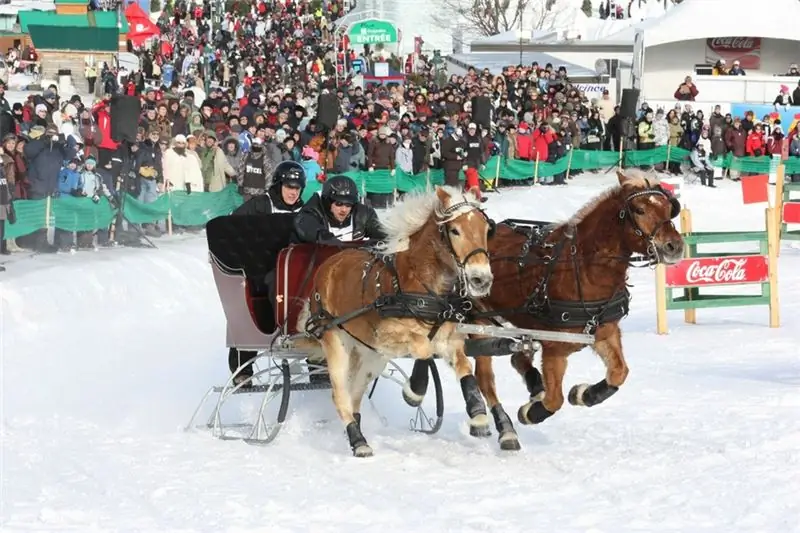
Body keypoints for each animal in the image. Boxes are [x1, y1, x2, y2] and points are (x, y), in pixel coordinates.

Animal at [298, 185, 496, 456]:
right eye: (455, 230)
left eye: (486, 229)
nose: (481, 279)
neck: (422, 287)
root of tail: (328, 266)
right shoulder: (386, 336)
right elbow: (423, 348)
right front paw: (415, 391)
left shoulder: (449, 341)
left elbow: (465, 368)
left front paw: (478, 416)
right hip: (336, 343)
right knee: (340, 396)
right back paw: (358, 442)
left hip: (370, 357)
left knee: (355, 395)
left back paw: (356, 431)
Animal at [404, 169, 684, 448]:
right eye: (639, 209)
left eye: (670, 208)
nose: (674, 246)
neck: (581, 267)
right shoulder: (554, 347)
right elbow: (554, 400)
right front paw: (531, 412)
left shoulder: (605, 332)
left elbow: (619, 373)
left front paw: (583, 394)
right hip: (478, 320)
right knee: (484, 377)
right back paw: (501, 426)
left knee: (517, 357)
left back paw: (532, 387)